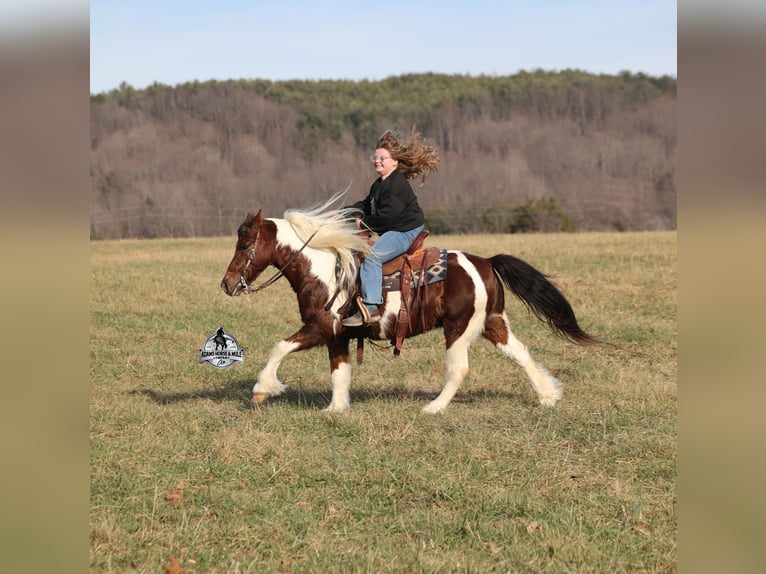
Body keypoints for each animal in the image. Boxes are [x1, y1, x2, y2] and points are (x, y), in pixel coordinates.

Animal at [220, 194, 600, 413]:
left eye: (244, 245)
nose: (227, 284)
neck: (326, 268)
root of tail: (486, 262)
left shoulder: (320, 326)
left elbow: (279, 348)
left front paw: (263, 389)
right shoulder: (338, 336)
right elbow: (340, 373)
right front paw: (336, 409)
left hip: (458, 328)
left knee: (459, 369)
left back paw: (434, 408)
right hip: (493, 322)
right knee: (520, 353)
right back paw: (548, 395)